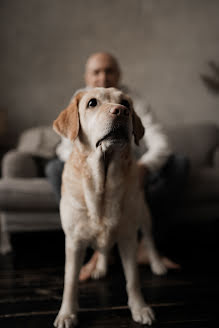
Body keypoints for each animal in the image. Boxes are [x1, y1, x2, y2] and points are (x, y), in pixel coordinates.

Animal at [52, 88, 166, 328]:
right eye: (92, 103)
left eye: (126, 103)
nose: (121, 111)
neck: (101, 183)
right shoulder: (74, 241)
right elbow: (70, 281)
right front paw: (67, 313)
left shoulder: (128, 237)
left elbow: (133, 279)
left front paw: (140, 308)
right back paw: (101, 267)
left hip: (143, 213)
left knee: (149, 238)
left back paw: (158, 264)